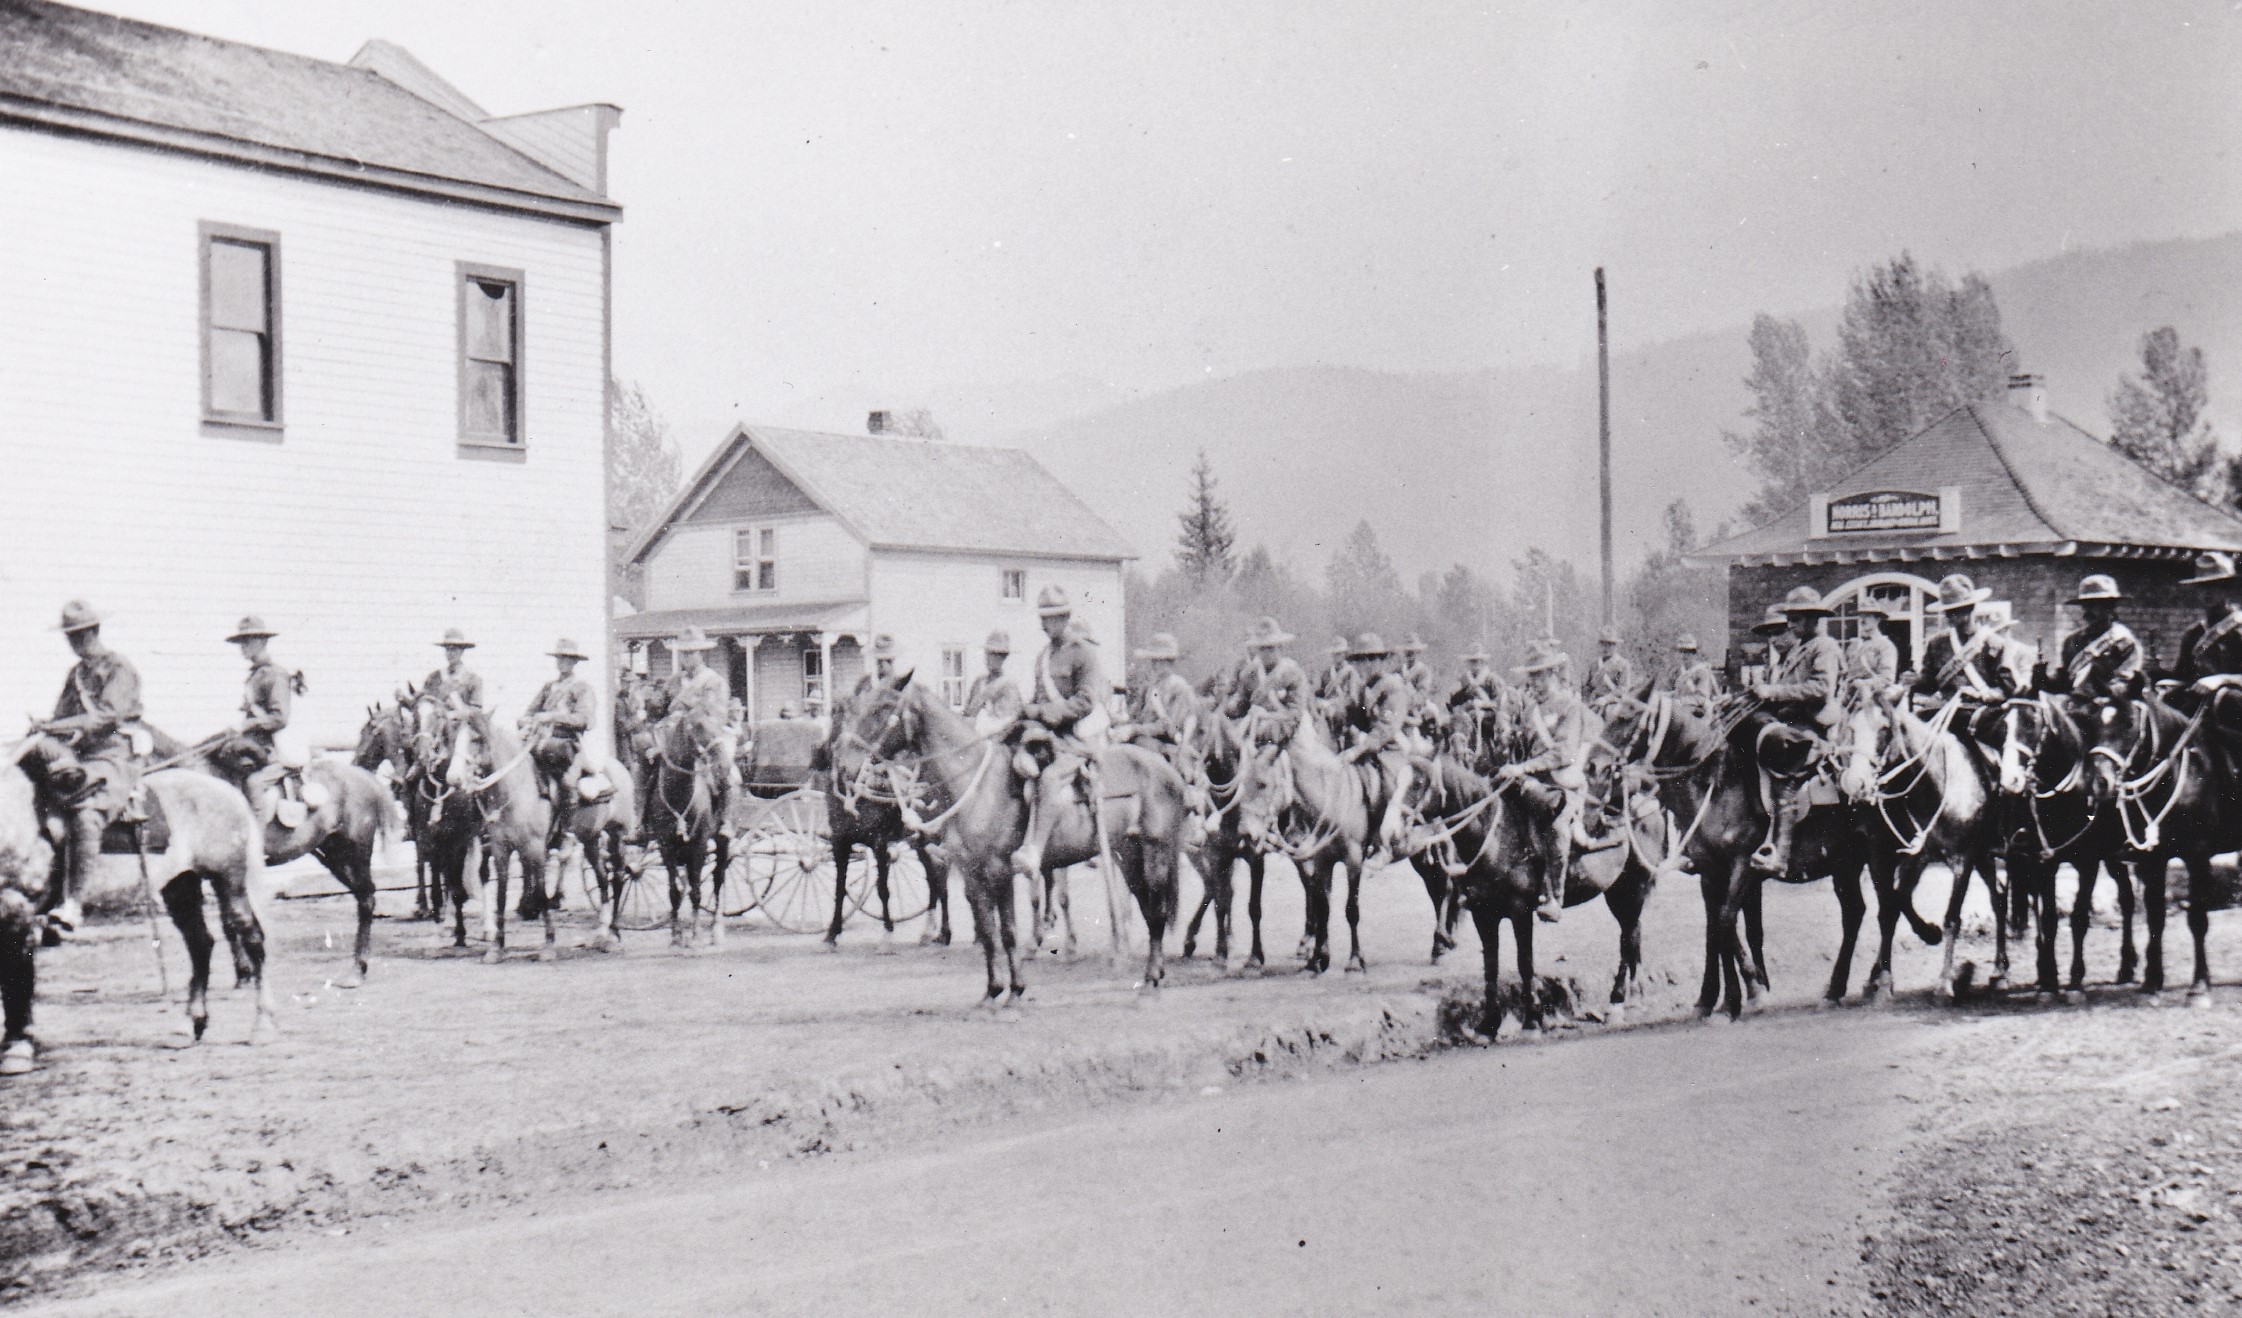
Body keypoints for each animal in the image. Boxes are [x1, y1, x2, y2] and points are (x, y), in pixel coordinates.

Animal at [9, 739, 279, 1062]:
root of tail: (227, 790)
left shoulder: (17, 905)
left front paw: (17, 1046)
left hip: (229, 880)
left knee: (252, 938)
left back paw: (262, 1025)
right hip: (181, 886)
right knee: (200, 943)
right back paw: (190, 1024)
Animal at [441, 703, 556, 963]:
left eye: (476, 738)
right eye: (453, 737)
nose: (453, 778)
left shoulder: (536, 847)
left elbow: (542, 890)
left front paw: (548, 944)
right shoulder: (500, 849)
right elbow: (501, 895)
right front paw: (497, 947)